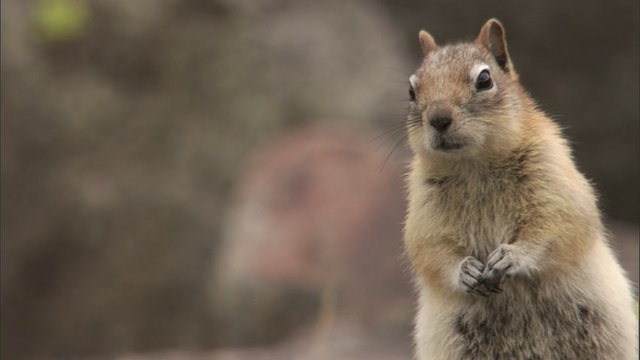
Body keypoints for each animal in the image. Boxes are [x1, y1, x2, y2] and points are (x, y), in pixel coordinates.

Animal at [402, 19, 636, 360]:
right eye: (411, 90)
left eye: (484, 79)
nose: (438, 118)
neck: (475, 165)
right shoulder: (423, 213)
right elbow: (430, 251)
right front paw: (464, 271)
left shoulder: (554, 184)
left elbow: (556, 227)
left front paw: (512, 257)